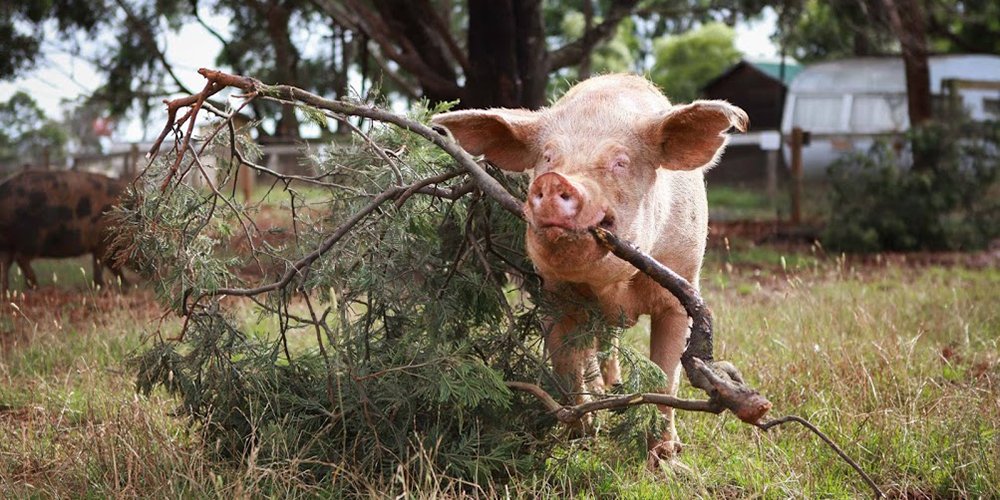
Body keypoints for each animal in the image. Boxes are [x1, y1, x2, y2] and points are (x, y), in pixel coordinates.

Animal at [0, 170, 129, 294]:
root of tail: (4, 190)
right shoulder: (102, 242)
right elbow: (101, 265)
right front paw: (103, 289)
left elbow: (113, 266)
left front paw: (126, 287)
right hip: (32, 238)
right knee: (20, 258)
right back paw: (37, 289)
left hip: (7, 243)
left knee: (4, 263)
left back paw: (5, 292)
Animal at [434, 73, 748, 460]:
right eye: (548, 156)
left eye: (620, 162)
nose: (554, 181)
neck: (615, 287)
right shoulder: (554, 297)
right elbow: (567, 364)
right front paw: (582, 435)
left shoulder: (681, 292)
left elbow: (667, 375)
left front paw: (667, 457)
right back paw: (601, 390)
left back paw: (615, 385)